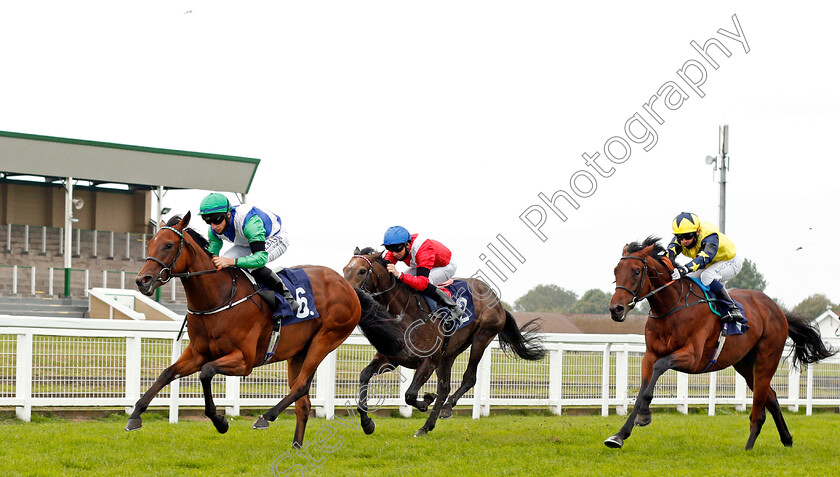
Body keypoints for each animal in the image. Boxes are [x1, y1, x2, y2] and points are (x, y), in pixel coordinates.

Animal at [129, 214, 404, 448]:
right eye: (149, 243)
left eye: (168, 245)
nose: (142, 280)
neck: (218, 298)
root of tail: (347, 285)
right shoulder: (197, 353)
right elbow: (167, 373)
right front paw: (135, 414)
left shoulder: (244, 360)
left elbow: (206, 373)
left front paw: (220, 421)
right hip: (298, 352)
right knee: (303, 402)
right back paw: (296, 448)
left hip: (326, 339)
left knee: (301, 387)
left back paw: (266, 417)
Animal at [344, 247, 548, 436]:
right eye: (345, 269)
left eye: (362, 271)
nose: (349, 294)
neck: (404, 313)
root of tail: (498, 302)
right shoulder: (390, 359)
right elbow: (364, 375)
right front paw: (367, 423)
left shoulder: (428, 361)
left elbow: (410, 395)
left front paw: (426, 400)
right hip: (448, 354)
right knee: (444, 388)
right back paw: (426, 426)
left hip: (481, 338)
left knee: (469, 378)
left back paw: (446, 408)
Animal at [604, 237, 832, 450]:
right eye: (616, 271)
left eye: (636, 272)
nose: (616, 309)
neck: (671, 307)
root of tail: (778, 310)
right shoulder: (650, 354)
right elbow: (642, 390)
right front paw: (619, 435)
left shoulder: (693, 356)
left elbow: (660, 367)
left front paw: (644, 416)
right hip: (744, 364)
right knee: (772, 397)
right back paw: (786, 439)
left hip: (767, 359)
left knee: (760, 406)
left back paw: (749, 448)